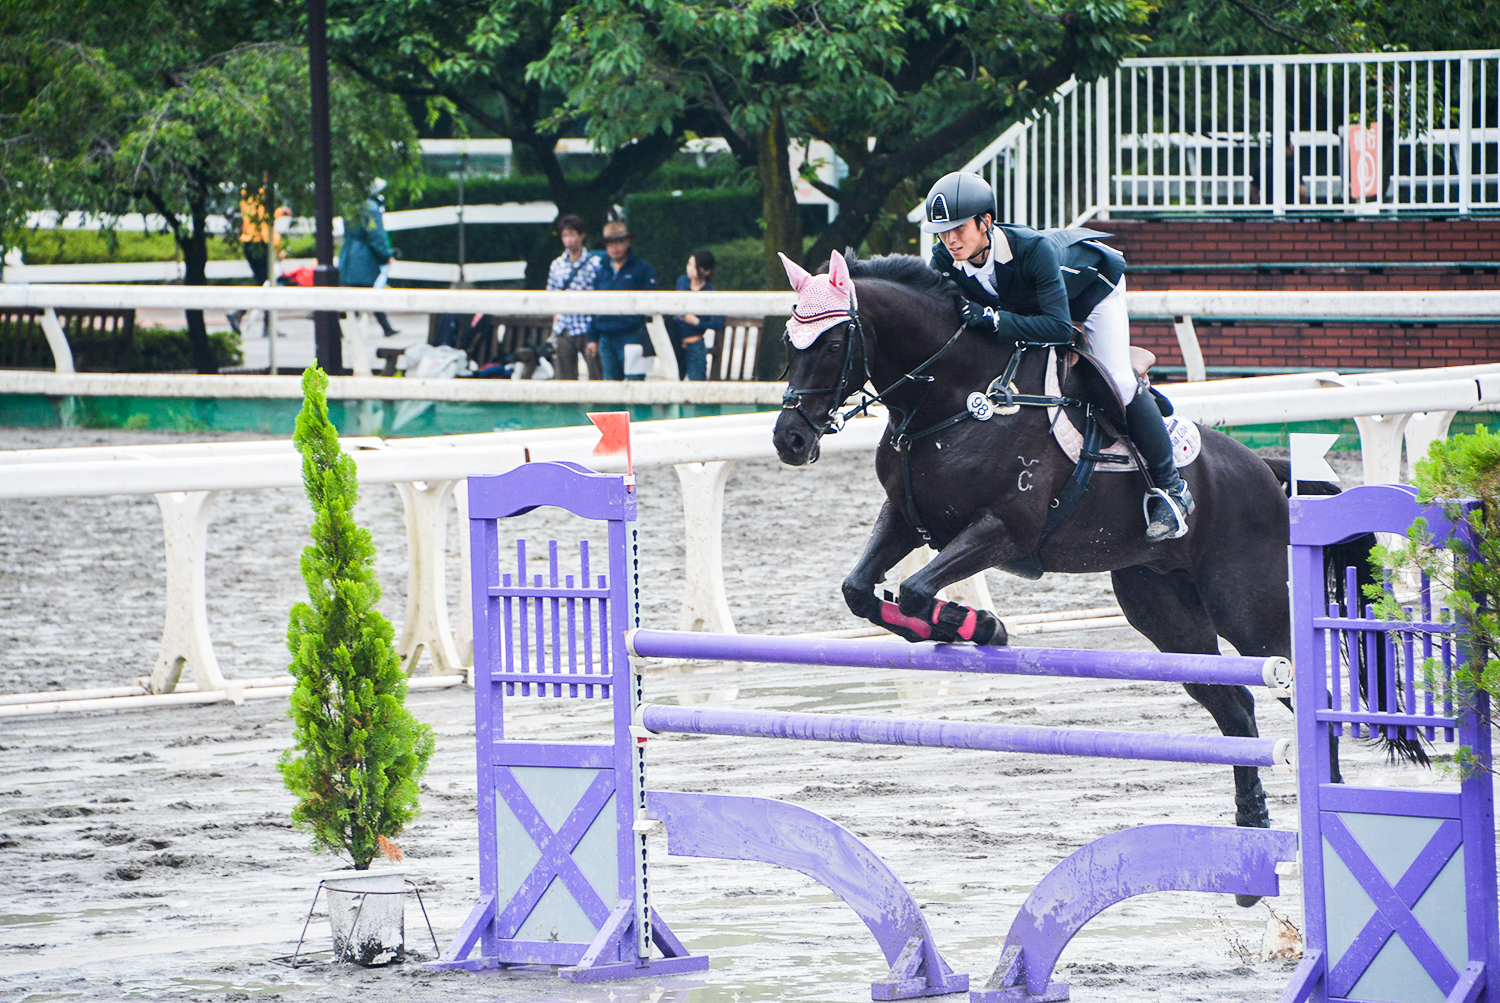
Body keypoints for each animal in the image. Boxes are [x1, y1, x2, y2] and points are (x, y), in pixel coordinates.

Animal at [769, 248, 1380, 848]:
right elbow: (860, 591)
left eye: (830, 344)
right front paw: (969, 627)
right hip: (1164, 609)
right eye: (787, 341)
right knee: (1234, 705)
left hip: (1249, 610)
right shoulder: (906, 519)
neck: (953, 401)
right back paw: (1252, 818)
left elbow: (917, 589)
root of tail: (1266, 470)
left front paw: (979, 626)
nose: (789, 440)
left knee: (1304, 688)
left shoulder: (1005, 529)